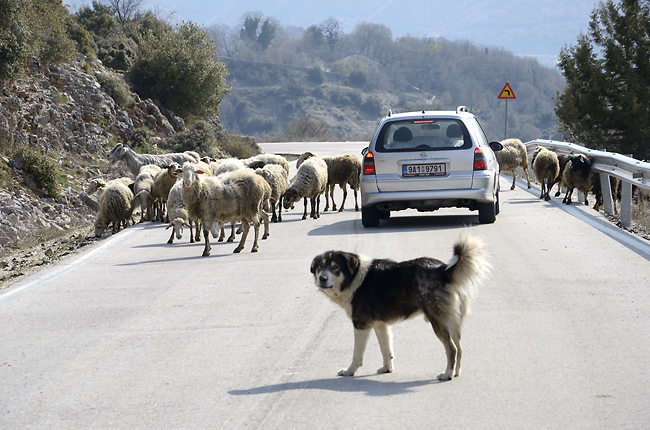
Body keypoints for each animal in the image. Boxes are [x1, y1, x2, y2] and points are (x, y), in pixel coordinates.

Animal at [308, 235, 486, 380]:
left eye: (335, 267)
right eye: (320, 267)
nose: (322, 279)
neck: (353, 278)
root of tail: (442, 270)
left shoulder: (361, 325)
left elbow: (357, 355)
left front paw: (349, 371)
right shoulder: (381, 325)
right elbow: (386, 349)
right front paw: (387, 369)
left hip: (438, 321)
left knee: (452, 349)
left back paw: (447, 374)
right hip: (453, 322)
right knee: (460, 348)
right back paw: (456, 372)